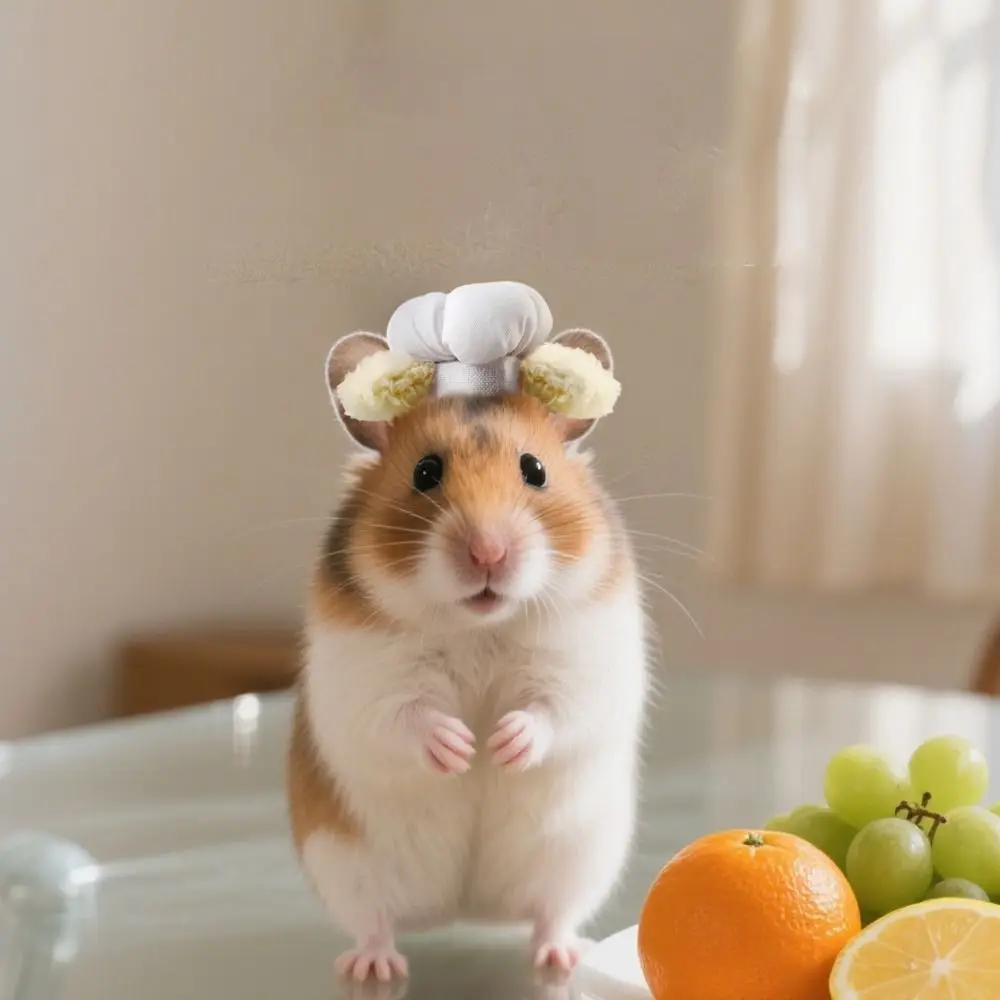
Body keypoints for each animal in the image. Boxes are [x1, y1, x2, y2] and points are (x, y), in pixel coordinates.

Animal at [287, 329, 649, 982]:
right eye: (426, 472)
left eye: (534, 470)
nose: (488, 553)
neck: (479, 625)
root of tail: (464, 912)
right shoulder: (367, 680)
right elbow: (406, 716)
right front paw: (460, 748)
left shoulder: (583, 668)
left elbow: (553, 712)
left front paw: (502, 745)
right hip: (344, 864)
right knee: (374, 922)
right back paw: (374, 967)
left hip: (579, 856)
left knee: (552, 914)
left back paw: (562, 956)